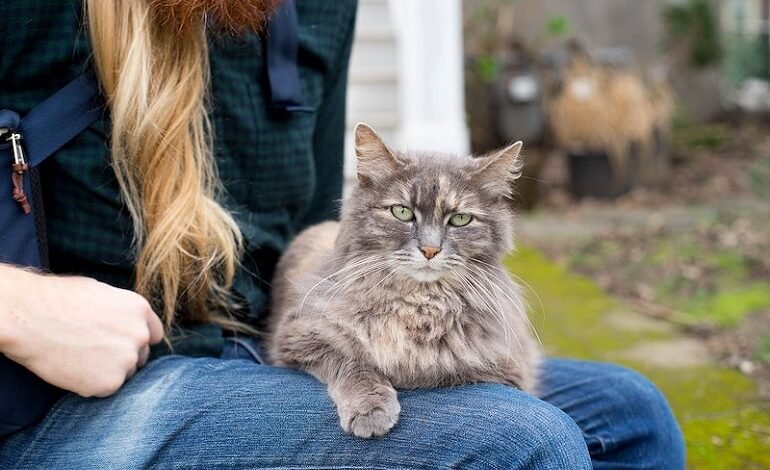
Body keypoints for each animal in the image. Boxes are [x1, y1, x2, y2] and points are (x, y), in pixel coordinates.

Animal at [264, 123, 540, 438]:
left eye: (460, 219)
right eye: (402, 212)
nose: (430, 250)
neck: (417, 303)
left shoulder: (505, 370)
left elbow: (437, 371)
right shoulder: (299, 336)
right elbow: (354, 363)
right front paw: (370, 408)